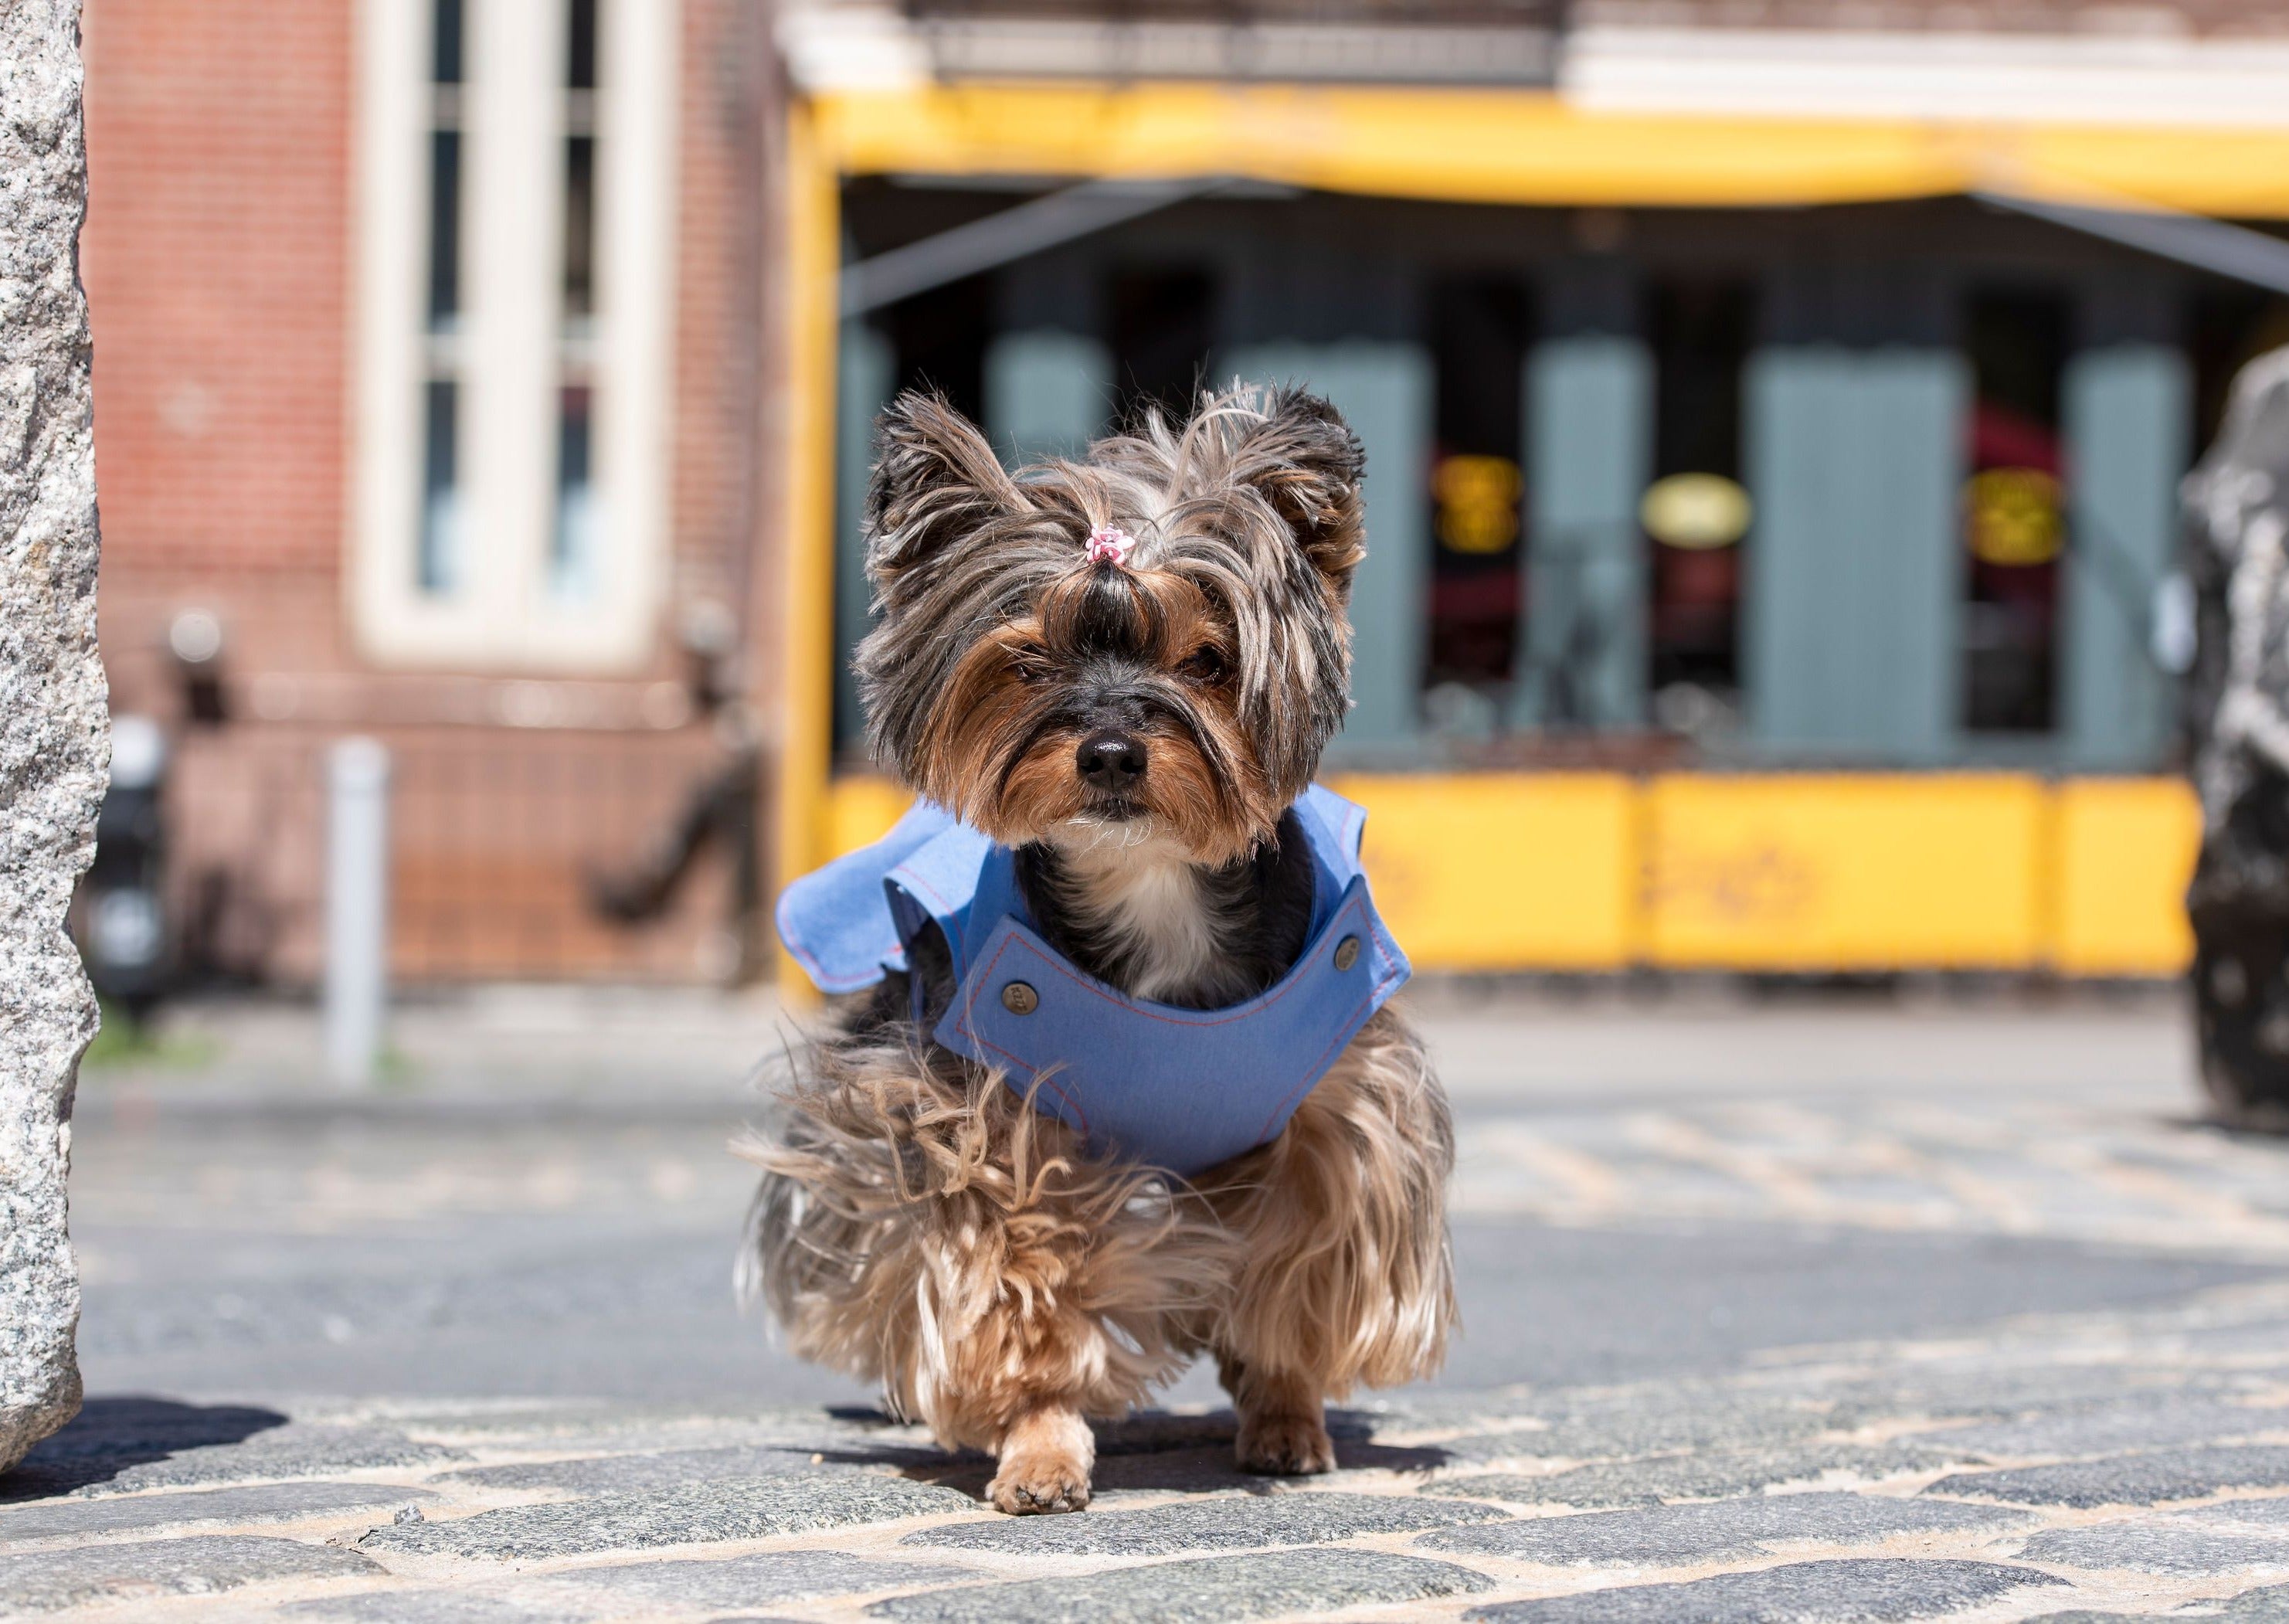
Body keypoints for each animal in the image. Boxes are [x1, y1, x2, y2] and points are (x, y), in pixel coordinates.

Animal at [750, 380, 1465, 1511]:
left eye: (1208, 660)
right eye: (1028, 660)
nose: (1112, 751)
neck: (1152, 885)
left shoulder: (1334, 1112)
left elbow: (1297, 1267)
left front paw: (1286, 1410)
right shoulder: (984, 1111)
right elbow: (1017, 1275)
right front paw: (1039, 1443)